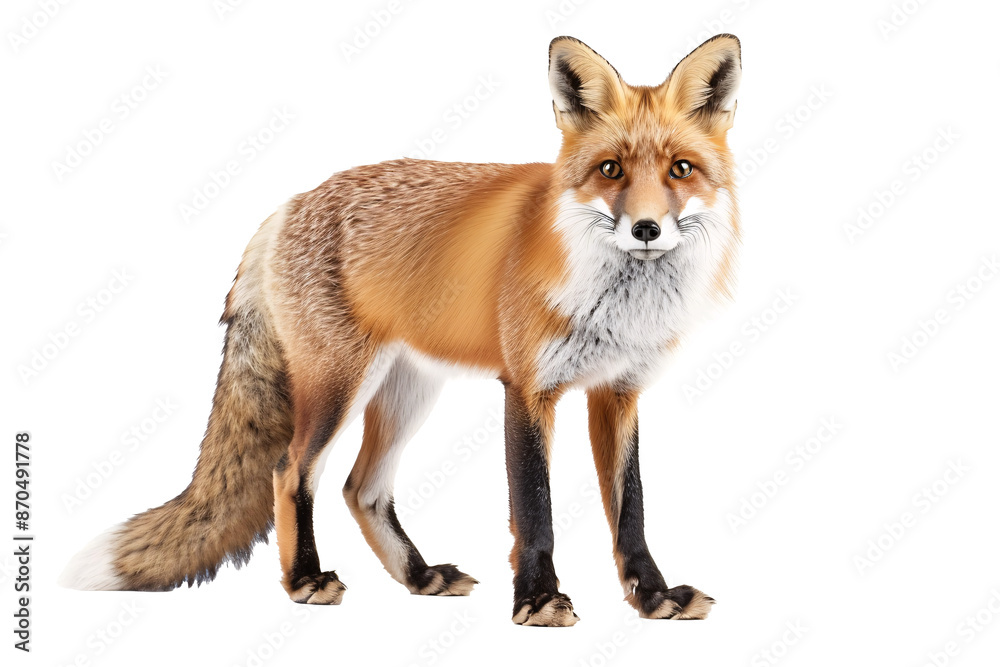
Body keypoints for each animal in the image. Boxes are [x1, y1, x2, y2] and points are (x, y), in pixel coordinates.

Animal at [61, 34, 743, 627]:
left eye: (681, 169)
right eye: (611, 170)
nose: (647, 229)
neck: (616, 302)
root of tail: (289, 204)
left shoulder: (618, 391)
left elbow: (632, 511)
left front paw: (654, 597)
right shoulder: (527, 388)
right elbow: (535, 511)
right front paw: (539, 600)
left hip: (408, 391)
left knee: (361, 488)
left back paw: (418, 576)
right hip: (338, 386)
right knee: (292, 471)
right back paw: (304, 580)